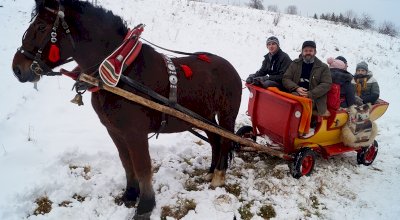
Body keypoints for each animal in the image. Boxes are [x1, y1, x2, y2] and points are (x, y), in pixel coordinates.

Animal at [12, 0, 242, 218]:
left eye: (41, 26)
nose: (17, 69)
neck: (122, 70)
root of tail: (230, 67)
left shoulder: (135, 133)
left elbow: (142, 167)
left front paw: (145, 206)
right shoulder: (115, 131)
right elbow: (126, 163)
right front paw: (130, 194)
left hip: (226, 116)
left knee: (225, 141)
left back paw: (219, 176)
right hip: (205, 117)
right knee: (215, 140)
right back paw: (211, 171)